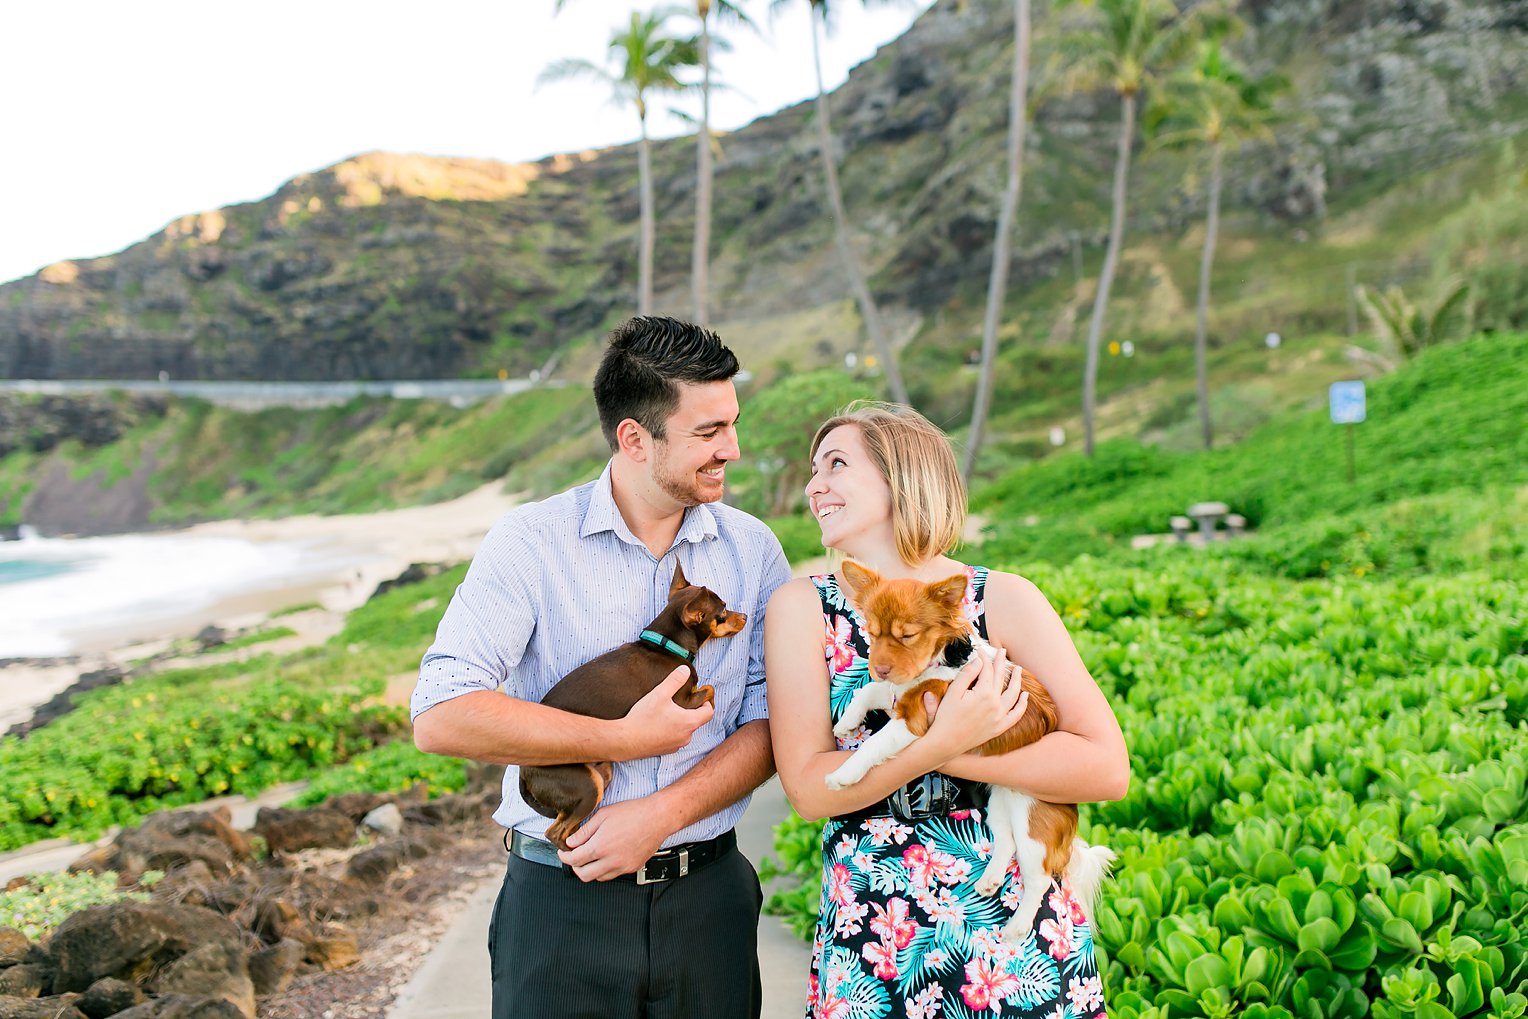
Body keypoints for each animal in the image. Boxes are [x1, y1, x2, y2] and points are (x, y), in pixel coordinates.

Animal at [519, 565, 745, 855]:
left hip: (600, 776)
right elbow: (709, 689)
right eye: (723, 611)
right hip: (586, 787)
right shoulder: (679, 702)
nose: (745, 616)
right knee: (555, 833)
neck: (666, 645)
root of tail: (524, 773)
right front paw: (711, 704)